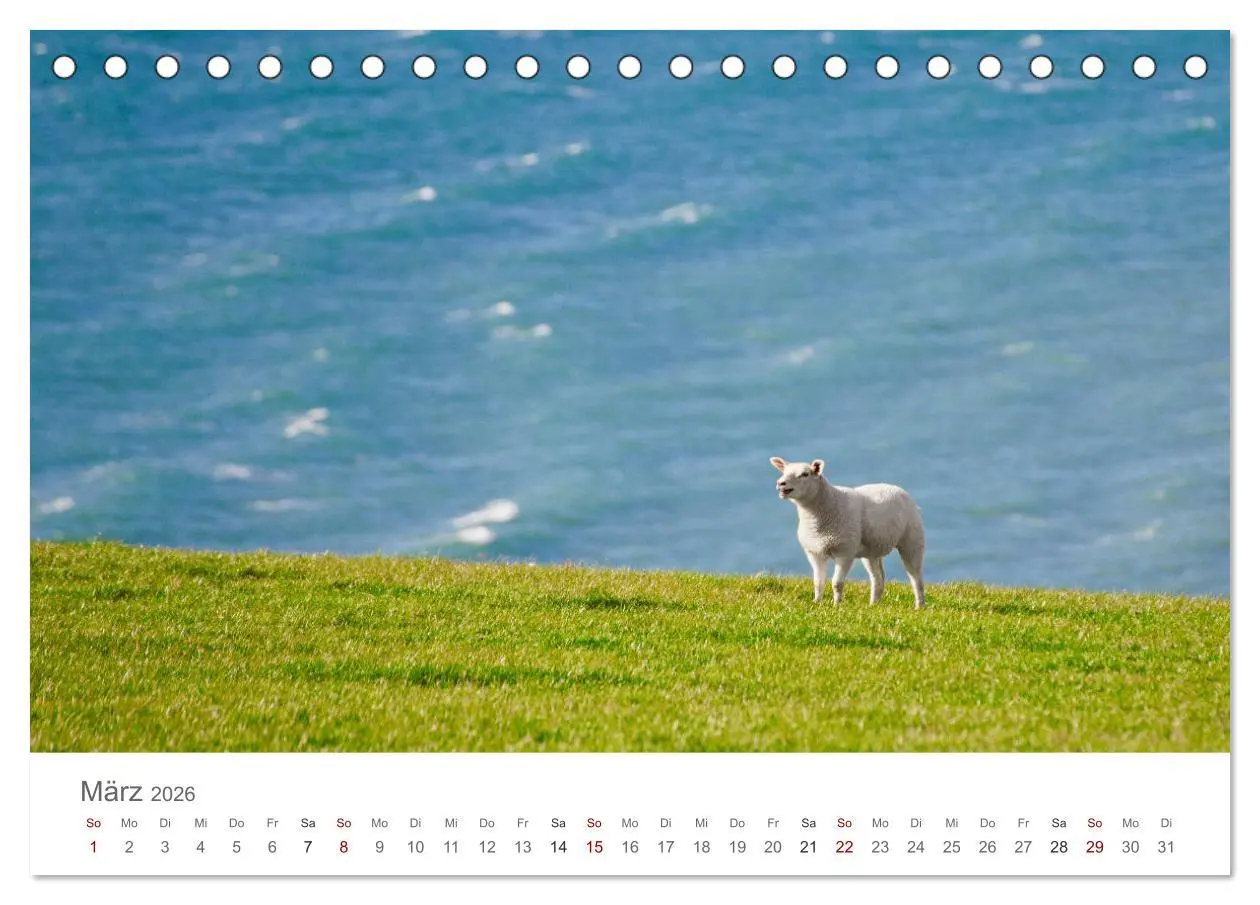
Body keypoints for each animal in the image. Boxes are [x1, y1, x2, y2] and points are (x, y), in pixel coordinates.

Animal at [770, 457, 926, 608]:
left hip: (912, 539)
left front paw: (837, 605)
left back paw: (919, 606)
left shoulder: (845, 551)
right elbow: (818, 582)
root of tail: (897, 488)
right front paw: (816, 602)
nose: (781, 483)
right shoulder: (814, 552)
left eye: (805, 474)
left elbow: (836, 583)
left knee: (915, 576)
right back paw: (873, 604)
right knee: (878, 577)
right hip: (872, 548)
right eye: (783, 472)